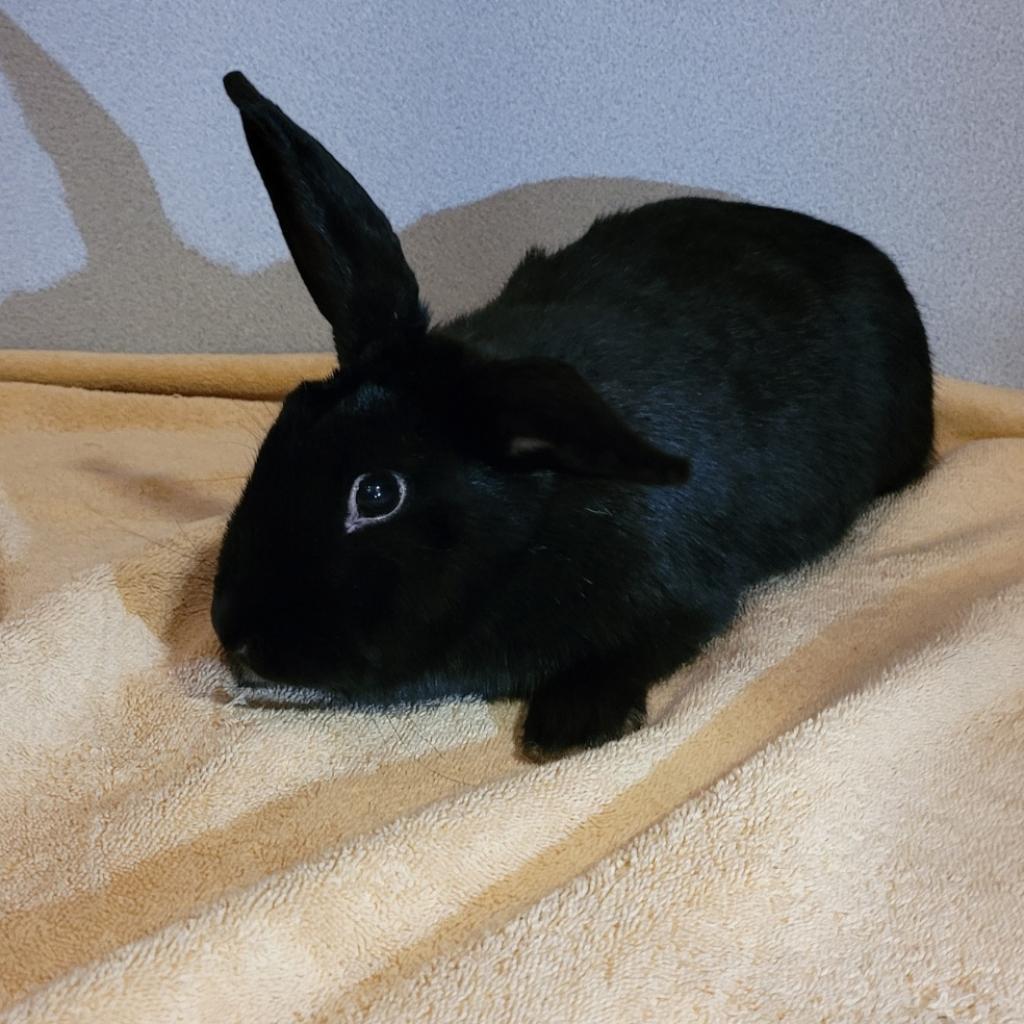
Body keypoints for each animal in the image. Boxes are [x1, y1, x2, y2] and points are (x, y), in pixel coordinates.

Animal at [211, 70, 934, 759]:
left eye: (379, 493)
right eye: (284, 425)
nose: (234, 633)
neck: (536, 509)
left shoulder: (683, 597)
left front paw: (568, 725)